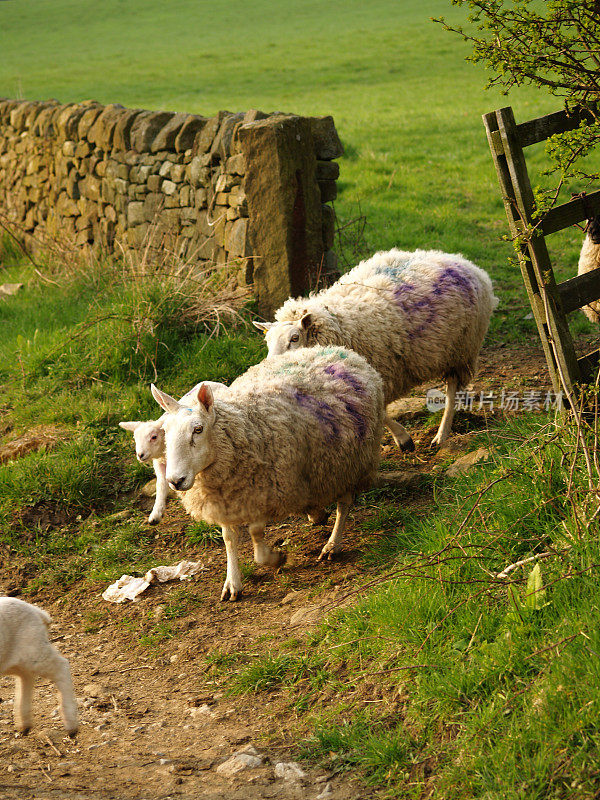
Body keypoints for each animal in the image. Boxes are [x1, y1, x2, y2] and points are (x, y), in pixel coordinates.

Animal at [0, 596, 78, 736]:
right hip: (13, 658)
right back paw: (24, 724)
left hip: (34, 650)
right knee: (26, 677)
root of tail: (36, 610)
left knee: (61, 666)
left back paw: (71, 725)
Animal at [120, 382, 230, 524]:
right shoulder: (159, 464)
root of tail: (206, 382)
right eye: (135, 438)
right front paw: (156, 513)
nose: (140, 455)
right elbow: (161, 484)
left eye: (154, 437)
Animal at [150, 344, 384, 600]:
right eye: (165, 432)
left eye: (198, 429)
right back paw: (316, 513)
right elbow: (229, 539)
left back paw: (333, 545)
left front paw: (275, 558)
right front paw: (233, 582)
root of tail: (337, 350)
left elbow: (256, 534)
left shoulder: (265, 490)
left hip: (350, 462)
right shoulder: (225, 500)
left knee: (344, 504)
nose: (175, 481)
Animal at [255, 247, 500, 446]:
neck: (336, 322)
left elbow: (381, 412)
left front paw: (404, 440)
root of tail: (460, 260)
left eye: (295, 338)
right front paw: (402, 438)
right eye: (268, 341)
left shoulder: (376, 374)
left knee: (451, 392)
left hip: (461, 349)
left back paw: (442, 435)